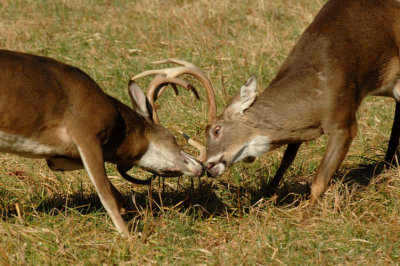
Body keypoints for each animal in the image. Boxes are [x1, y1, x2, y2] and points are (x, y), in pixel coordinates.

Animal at [0, 50, 216, 237]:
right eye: (171, 136)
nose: (200, 167)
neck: (118, 126)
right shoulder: (85, 134)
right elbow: (106, 195)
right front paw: (130, 238)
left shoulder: (60, 158)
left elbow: (114, 193)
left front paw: (127, 211)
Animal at [200, 0, 400, 208]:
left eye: (216, 130)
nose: (208, 167)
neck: (313, 90)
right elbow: (287, 158)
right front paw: (267, 195)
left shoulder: (343, 120)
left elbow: (319, 182)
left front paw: (308, 214)